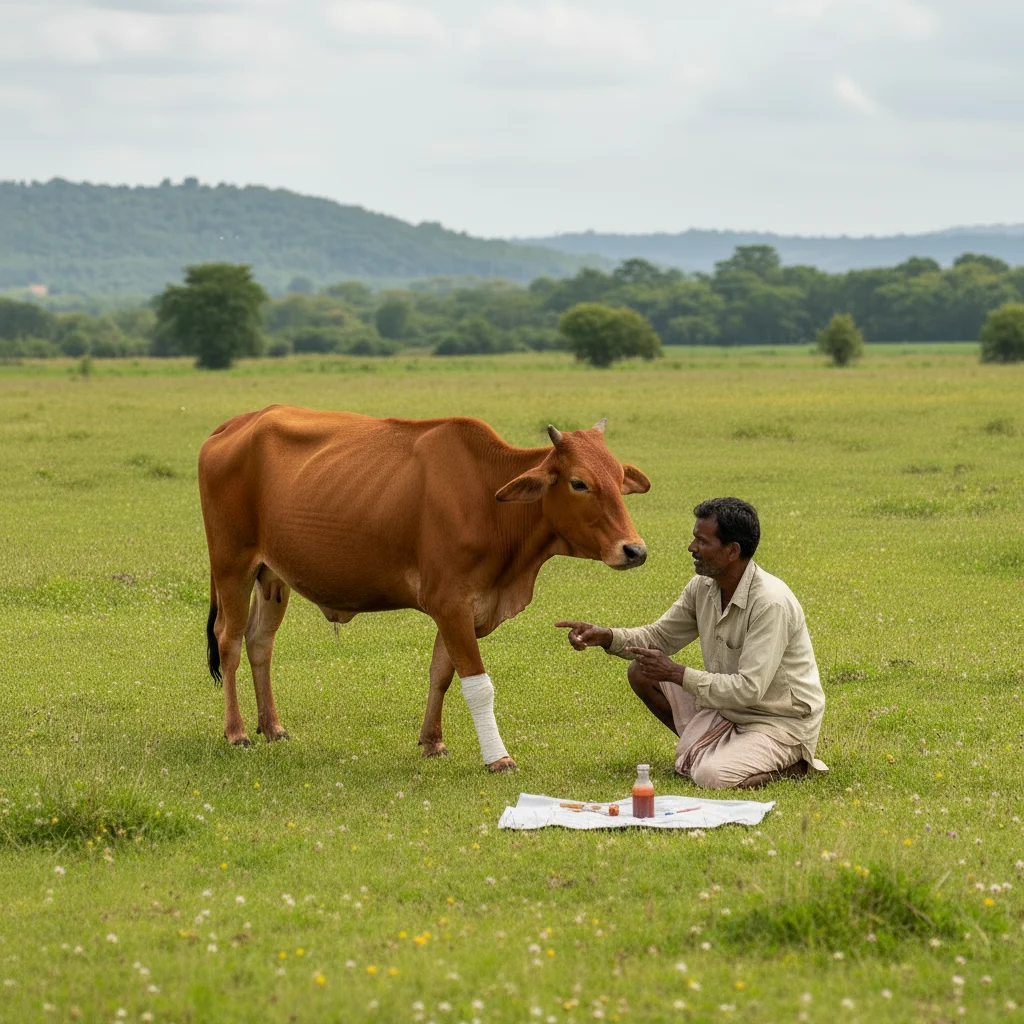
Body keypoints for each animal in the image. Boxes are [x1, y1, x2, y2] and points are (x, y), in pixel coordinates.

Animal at [198, 406, 650, 771]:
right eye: (579, 483)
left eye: (618, 480)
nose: (634, 550)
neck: (488, 499)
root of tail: (235, 424)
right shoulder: (450, 604)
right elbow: (477, 684)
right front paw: (498, 757)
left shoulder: (464, 609)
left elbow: (442, 674)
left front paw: (432, 742)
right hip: (232, 566)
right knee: (229, 641)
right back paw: (237, 731)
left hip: (272, 577)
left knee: (260, 642)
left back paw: (272, 726)